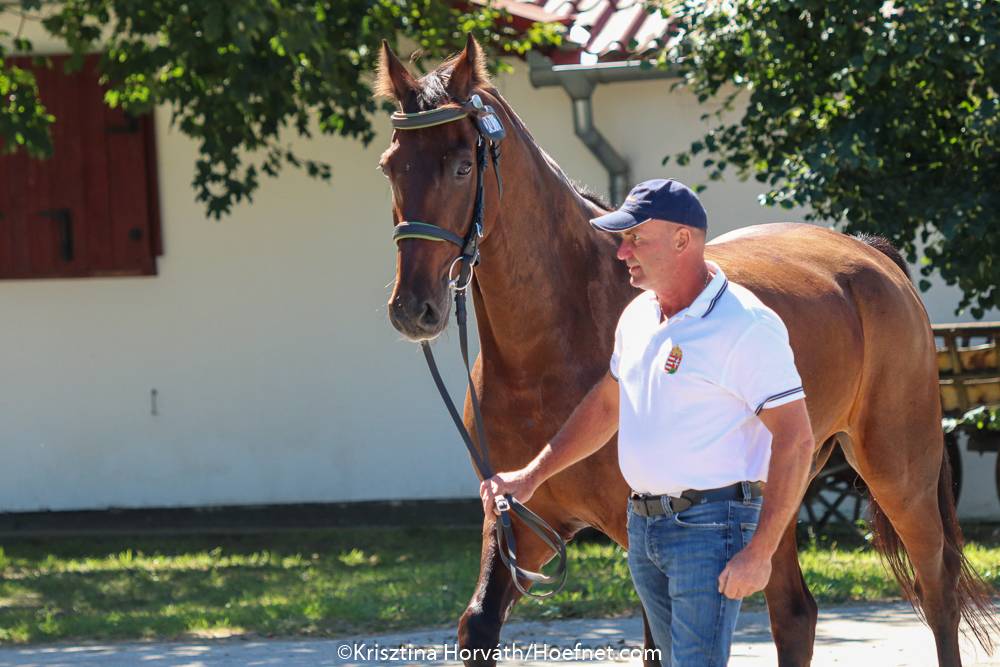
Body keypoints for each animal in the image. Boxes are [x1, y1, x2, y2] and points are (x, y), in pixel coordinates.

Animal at [376, 36, 996, 666]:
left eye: (462, 165)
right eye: (390, 166)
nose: (414, 308)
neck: (546, 354)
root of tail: (868, 255)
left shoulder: (642, 531)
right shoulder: (519, 524)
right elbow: (477, 624)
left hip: (900, 470)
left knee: (937, 589)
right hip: (775, 498)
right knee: (795, 613)